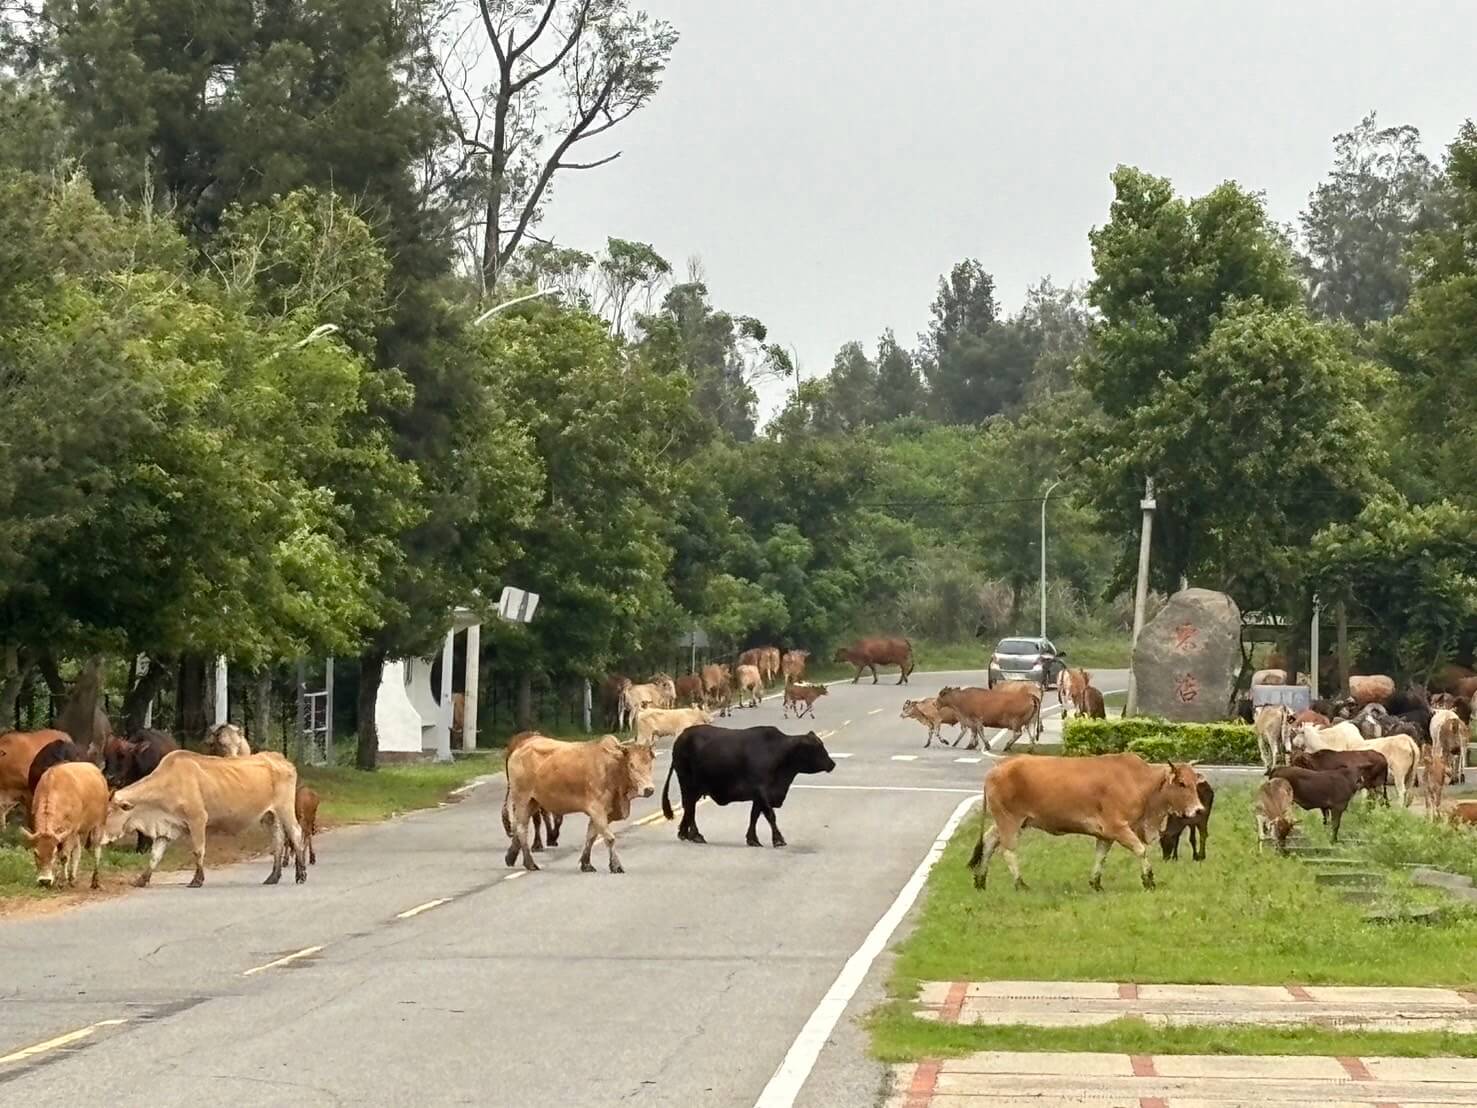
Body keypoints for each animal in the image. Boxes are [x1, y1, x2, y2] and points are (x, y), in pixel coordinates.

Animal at [24, 762, 109, 892]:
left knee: (97, 851)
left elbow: (64, 856)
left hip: (99, 825)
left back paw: (95, 881)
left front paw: (61, 882)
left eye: (53, 853)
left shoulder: (70, 832)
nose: (44, 881)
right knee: (78, 851)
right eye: (35, 853)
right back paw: (72, 878)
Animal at [101, 750, 305, 892]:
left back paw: (301, 874)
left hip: (285, 809)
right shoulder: (166, 829)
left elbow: (198, 850)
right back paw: (273, 876)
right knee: (277, 841)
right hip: (270, 816)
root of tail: (280, 758)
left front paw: (197, 879)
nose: (98, 837)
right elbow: (155, 856)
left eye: (109, 811)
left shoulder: (197, 819)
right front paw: (141, 880)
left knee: (296, 833)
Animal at [502, 738, 652, 874]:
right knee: (521, 829)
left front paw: (586, 864)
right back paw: (530, 863)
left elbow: (591, 836)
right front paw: (616, 866)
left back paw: (511, 856)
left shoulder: (603, 813)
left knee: (516, 826)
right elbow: (609, 838)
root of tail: (520, 747)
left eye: (650, 765)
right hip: (522, 799)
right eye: (631, 765)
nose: (649, 789)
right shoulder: (597, 809)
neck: (611, 769)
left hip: (534, 802)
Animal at [664, 729, 838, 850]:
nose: (832, 764)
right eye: (816, 748)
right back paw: (695, 835)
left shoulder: (758, 796)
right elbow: (770, 815)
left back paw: (685, 833)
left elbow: (754, 815)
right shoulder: (762, 790)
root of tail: (682, 736)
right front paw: (778, 839)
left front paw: (752, 839)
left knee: (689, 808)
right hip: (689, 785)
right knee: (690, 808)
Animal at [963, 756, 1205, 892]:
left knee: (988, 842)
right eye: (1181, 783)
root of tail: (997, 767)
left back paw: (980, 880)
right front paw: (1149, 880)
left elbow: (1100, 857)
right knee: (1008, 850)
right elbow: (1141, 850)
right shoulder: (1117, 827)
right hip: (1010, 820)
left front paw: (1096, 883)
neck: (1140, 783)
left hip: (1007, 821)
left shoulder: (1105, 835)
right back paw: (1020, 884)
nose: (1199, 810)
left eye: (1195, 783)